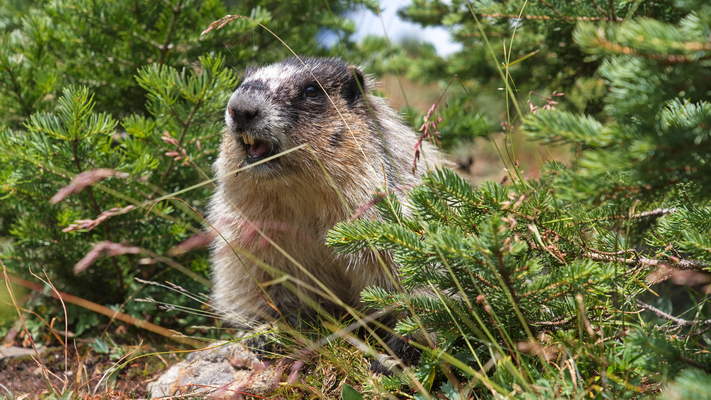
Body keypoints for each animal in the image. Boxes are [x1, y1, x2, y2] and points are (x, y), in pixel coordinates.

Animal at [209, 57, 443, 332]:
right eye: (240, 83)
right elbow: (247, 277)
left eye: (311, 90)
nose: (240, 108)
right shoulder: (244, 230)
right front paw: (261, 330)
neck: (297, 192)